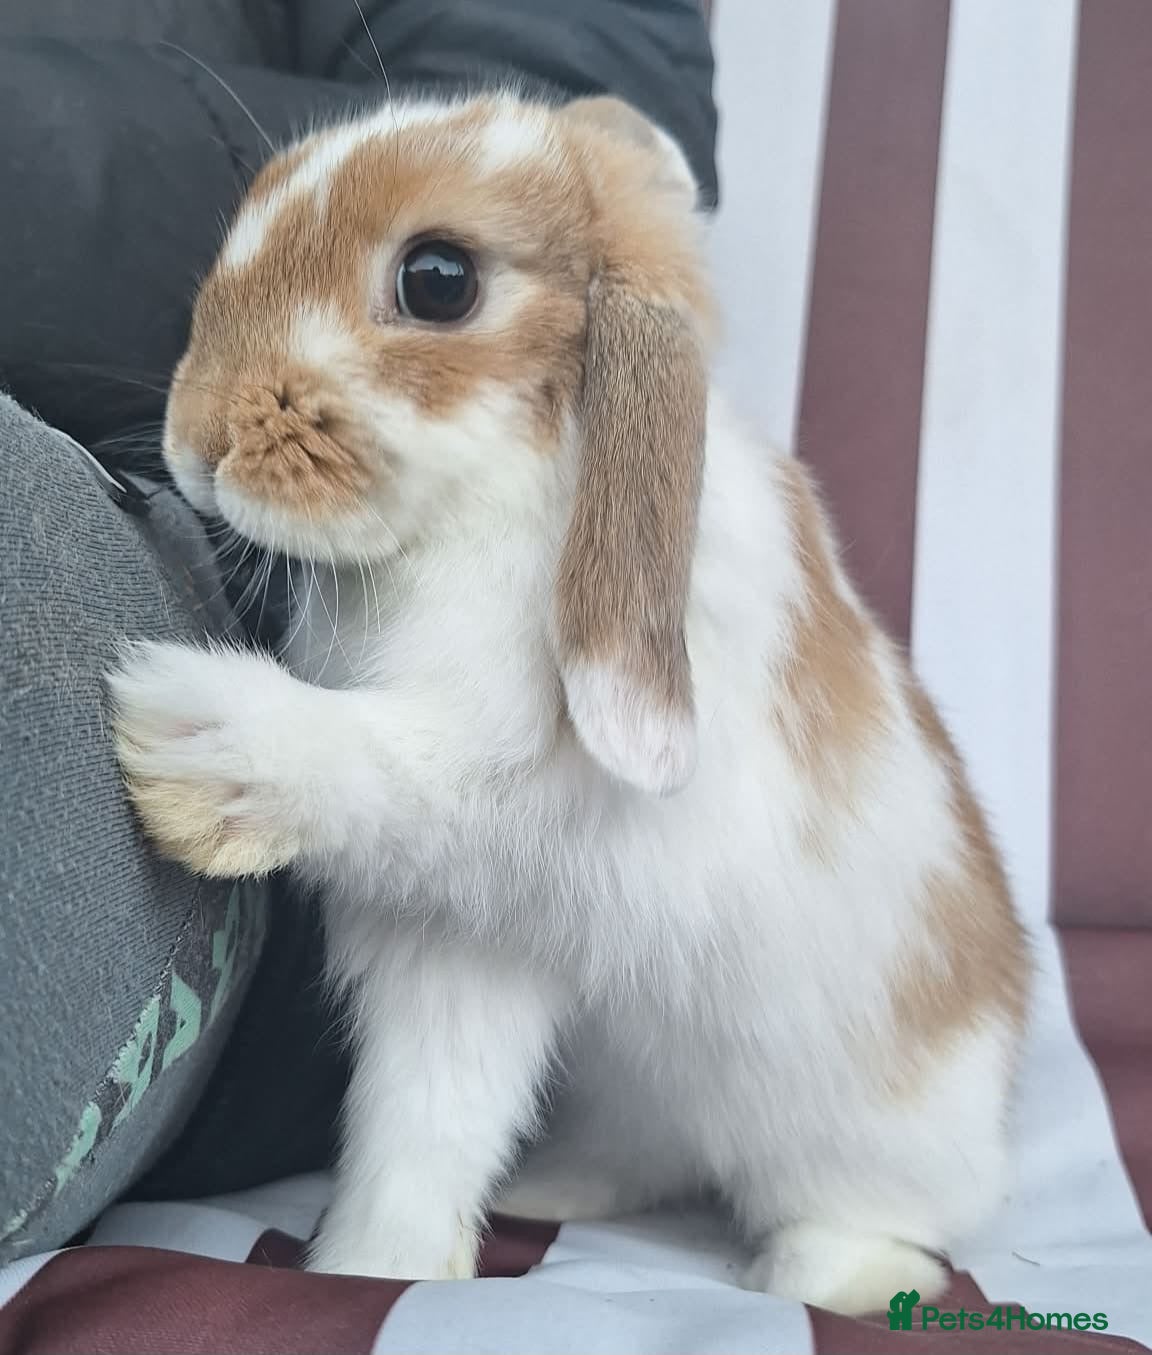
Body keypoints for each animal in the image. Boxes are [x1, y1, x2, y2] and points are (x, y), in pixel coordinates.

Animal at [107, 89, 1031, 1316]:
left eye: (438, 279)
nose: (195, 439)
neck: (504, 492)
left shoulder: (502, 794)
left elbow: (391, 764)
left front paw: (182, 733)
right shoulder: (466, 943)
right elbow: (424, 1115)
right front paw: (376, 1264)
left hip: (864, 1132)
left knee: (889, 1220)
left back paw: (817, 1274)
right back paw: (553, 1185)